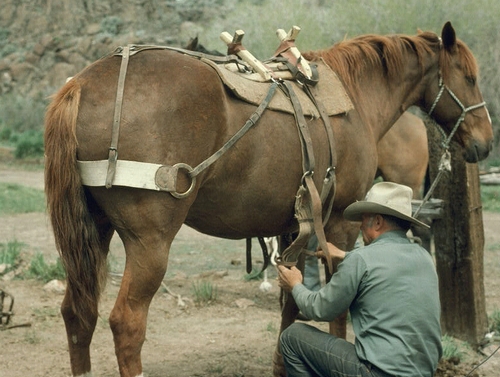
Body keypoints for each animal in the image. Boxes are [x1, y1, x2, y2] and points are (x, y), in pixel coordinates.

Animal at [44, 22, 492, 376]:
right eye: (470, 77)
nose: (485, 143)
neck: (355, 97)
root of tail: (83, 83)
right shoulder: (340, 225)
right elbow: (337, 310)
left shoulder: (295, 229)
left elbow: (291, 305)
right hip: (149, 243)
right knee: (127, 323)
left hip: (94, 233)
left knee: (78, 314)